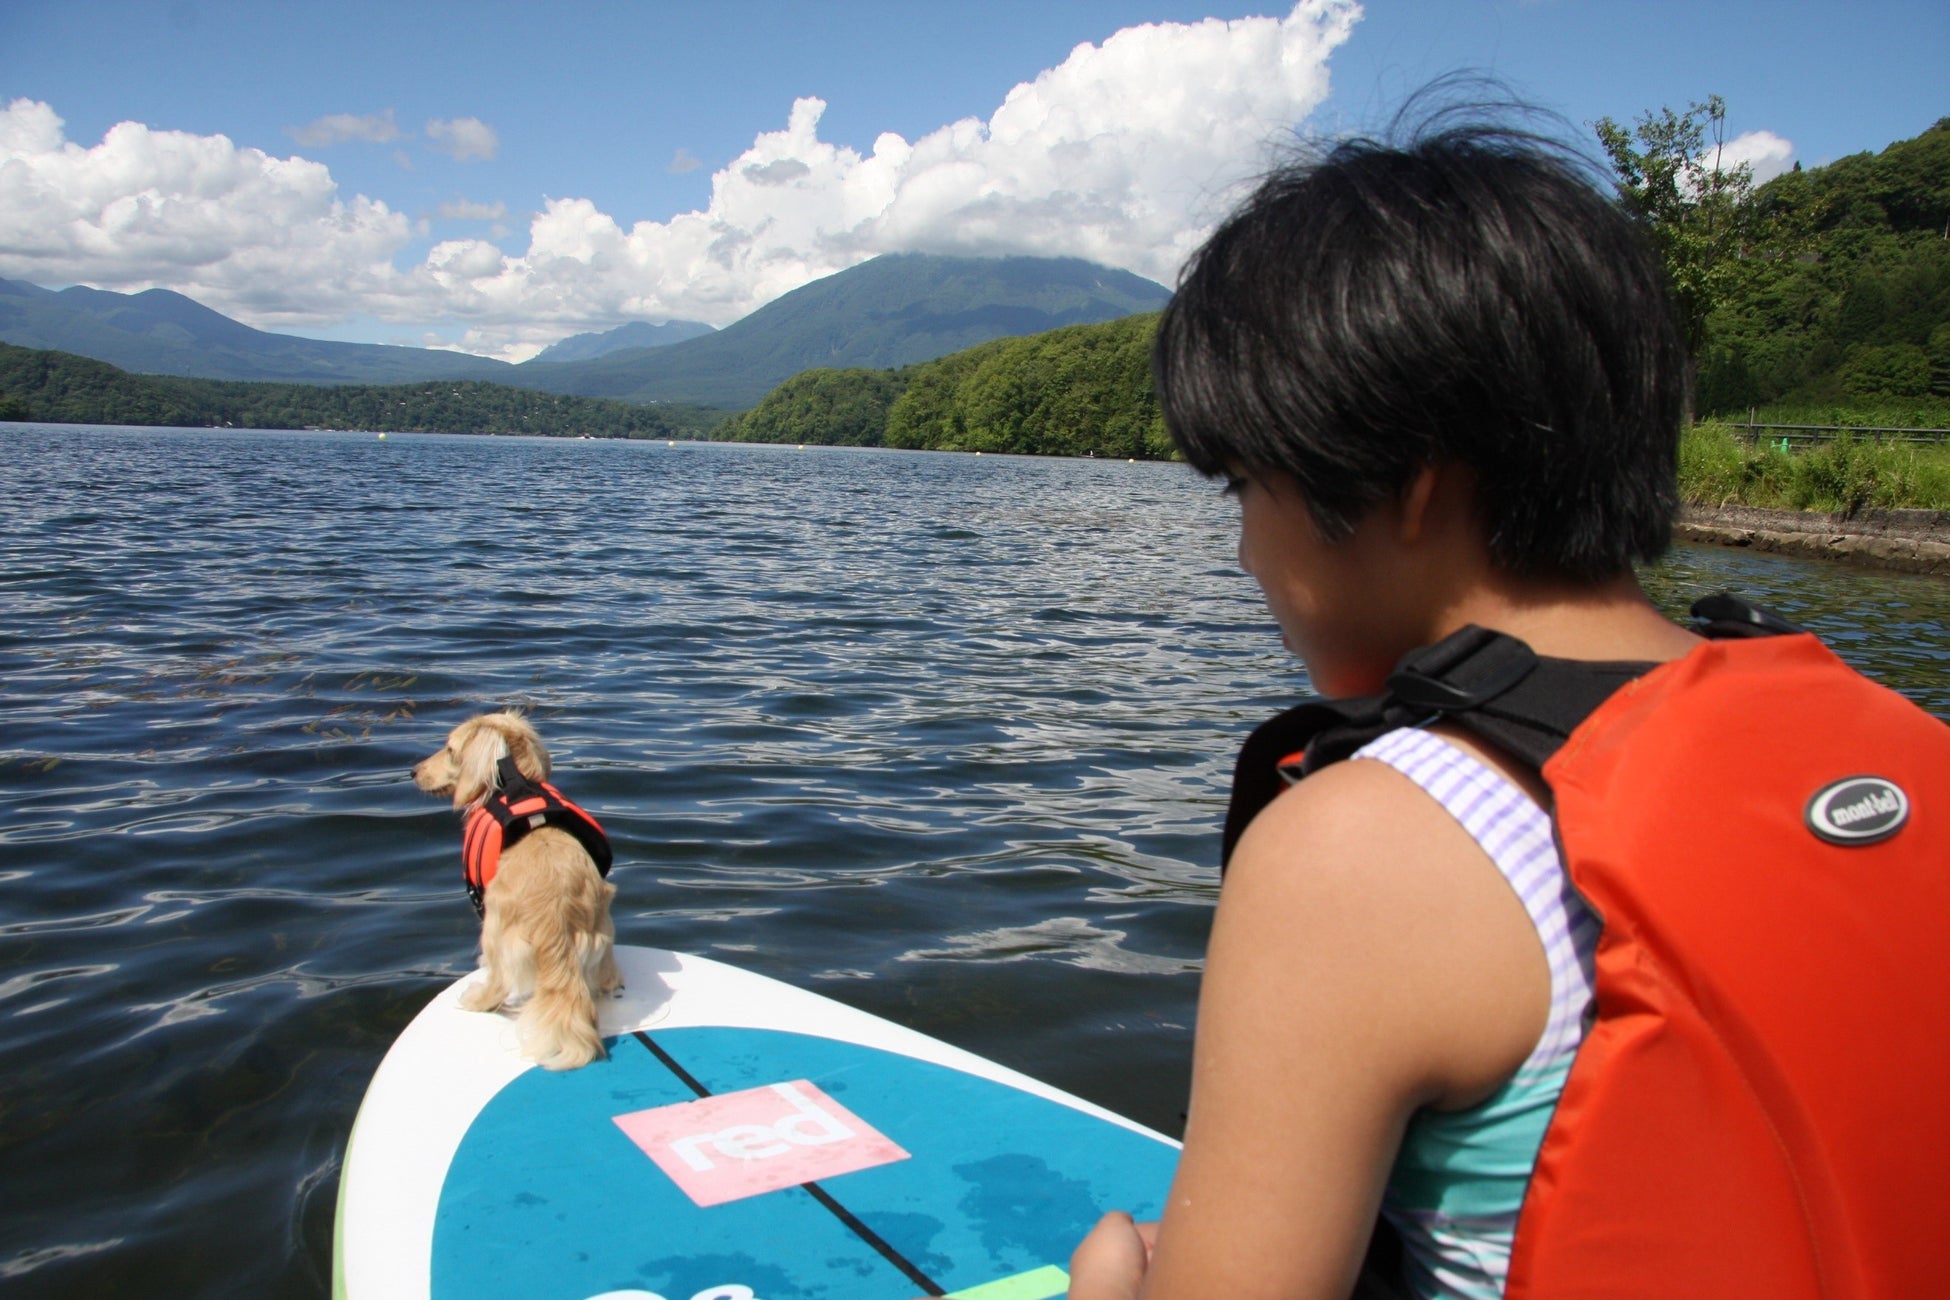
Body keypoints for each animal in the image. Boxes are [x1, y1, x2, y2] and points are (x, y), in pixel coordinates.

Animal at [409, 713, 616, 1068]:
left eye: (450, 749)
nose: (413, 771)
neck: (514, 786)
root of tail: (554, 919)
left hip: (493, 932)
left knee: (497, 983)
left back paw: (476, 998)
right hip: (603, 928)